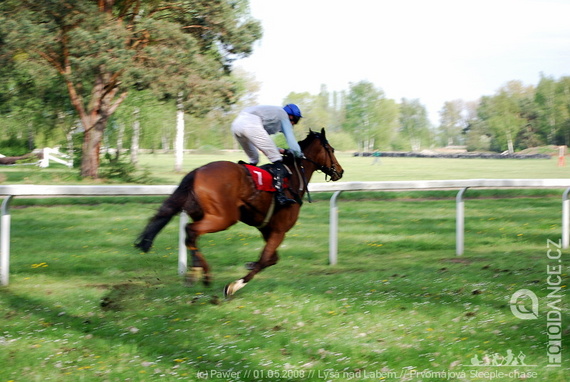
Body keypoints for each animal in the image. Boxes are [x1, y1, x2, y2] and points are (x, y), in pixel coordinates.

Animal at [134, 129, 342, 298]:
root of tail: (197, 171)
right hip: (224, 218)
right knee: (191, 231)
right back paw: (203, 274)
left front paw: (249, 265)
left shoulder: (267, 229)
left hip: (203, 214)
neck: (292, 178)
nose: (340, 171)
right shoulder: (279, 230)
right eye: (331, 149)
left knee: (190, 235)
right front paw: (234, 285)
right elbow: (265, 260)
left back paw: (197, 272)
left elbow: (271, 259)